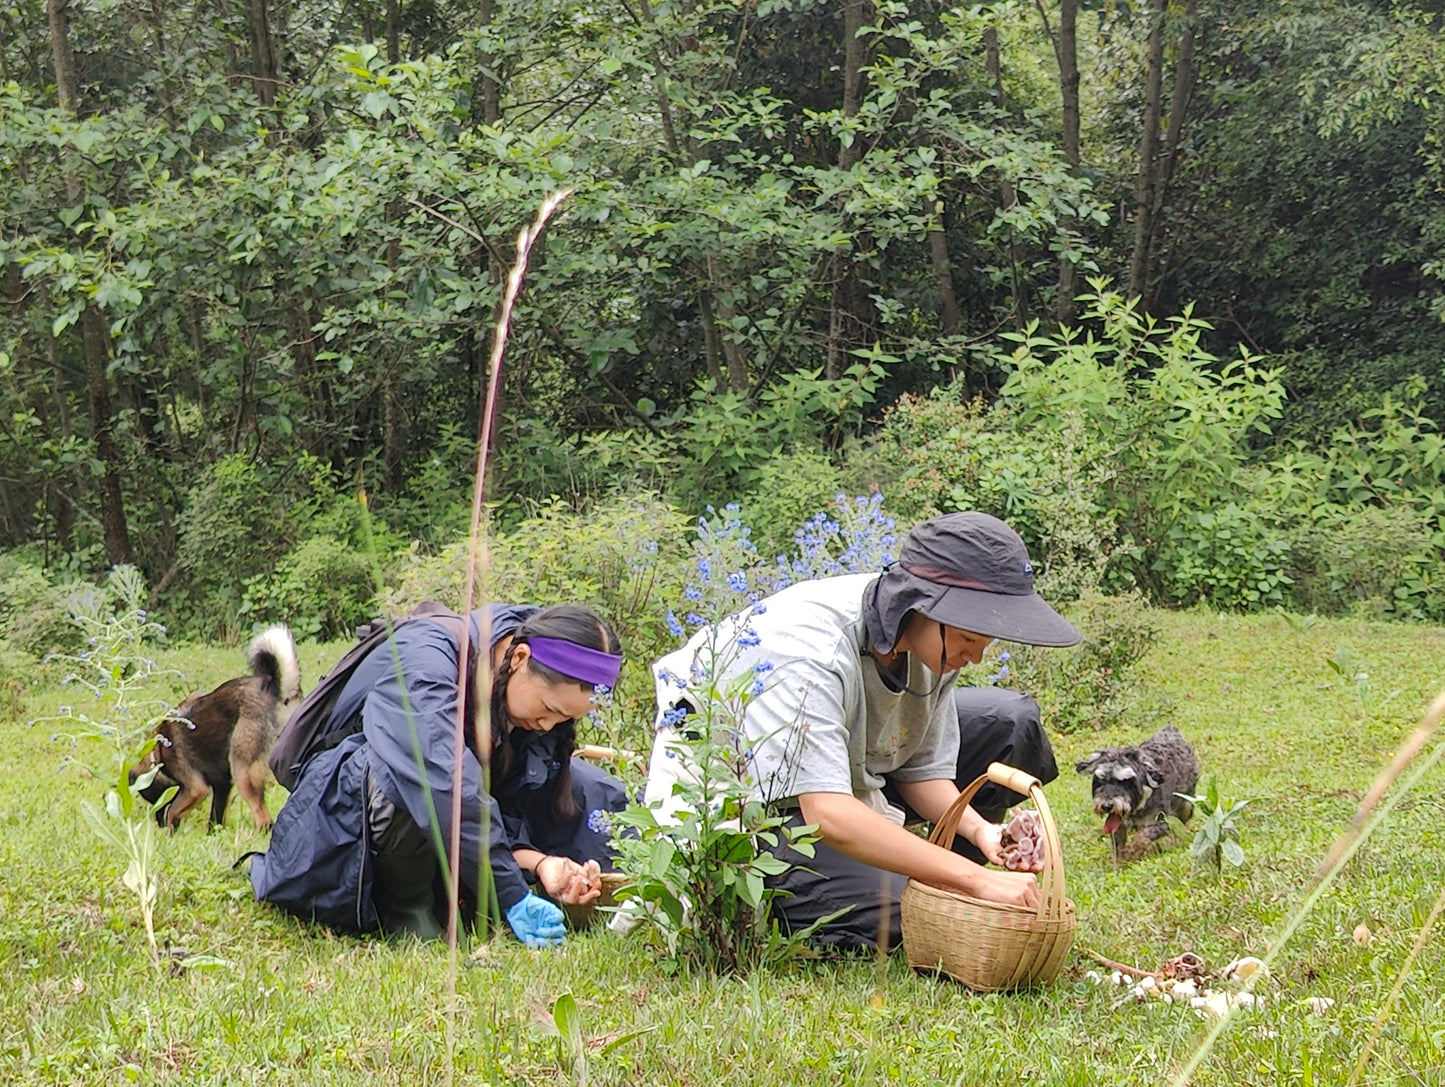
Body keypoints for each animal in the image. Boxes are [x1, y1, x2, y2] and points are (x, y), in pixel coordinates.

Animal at [131, 624, 300, 826]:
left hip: (243, 772)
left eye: (155, 797)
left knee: (263, 819)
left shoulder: (195, 789)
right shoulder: (222, 785)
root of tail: (275, 690)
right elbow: (215, 819)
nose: (159, 823)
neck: (158, 749)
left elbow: (173, 811)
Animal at [1075, 725, 1196, 861]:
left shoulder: (1164, 821)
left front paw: (1131, 851)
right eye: (1100, 781)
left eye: (1125, 783)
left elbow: (1143, 837)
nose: (1106, 806)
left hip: (1186, 805)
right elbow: (1118, 846)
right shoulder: (1119, 825)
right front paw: (1119, 863)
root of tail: (1171, 730)